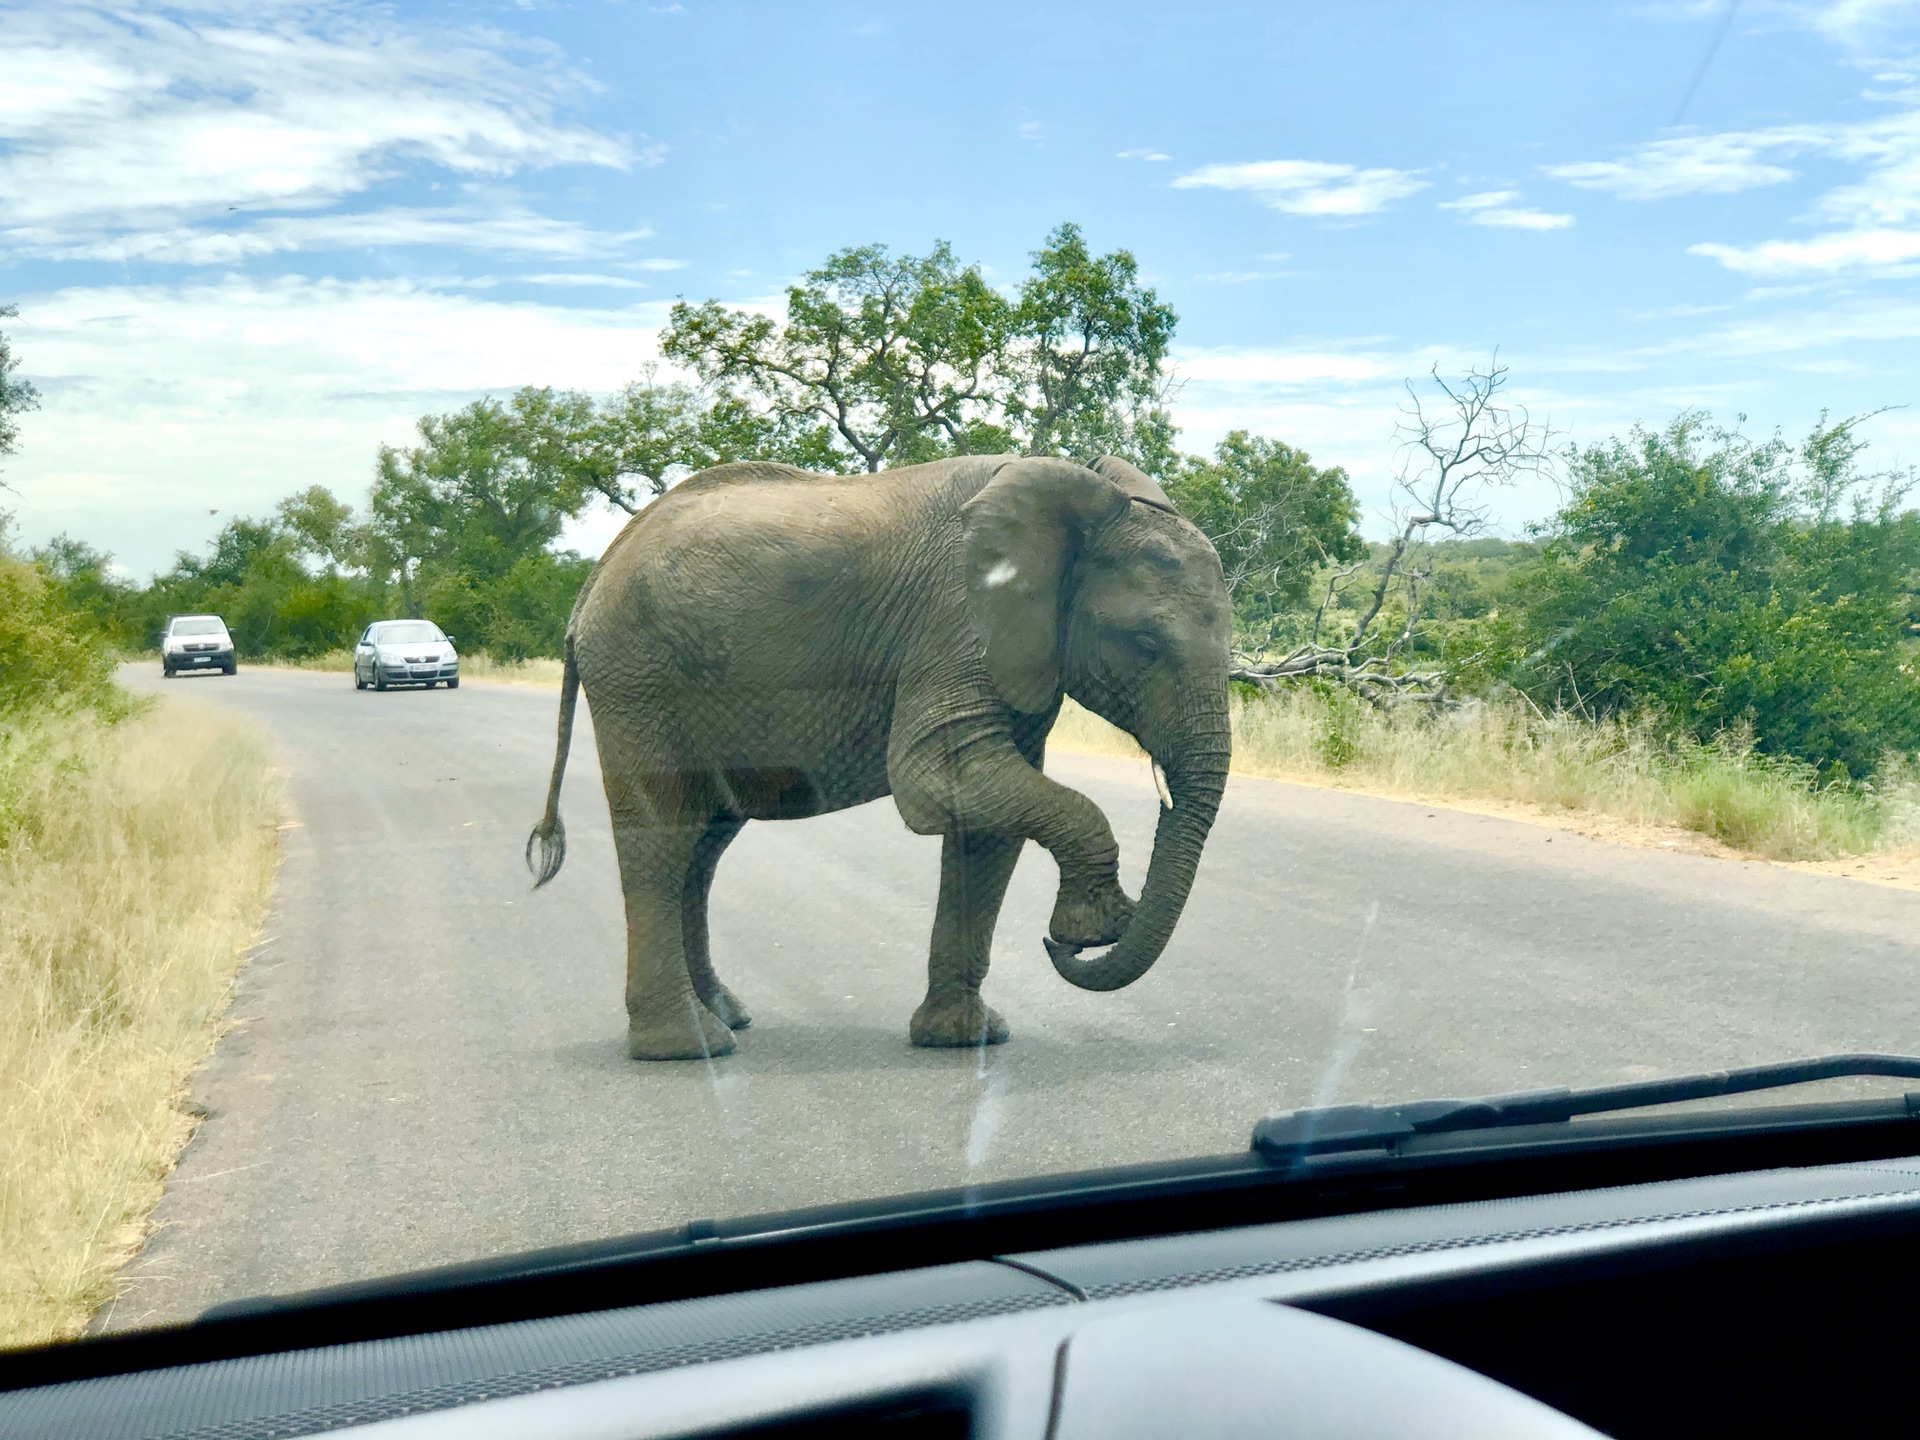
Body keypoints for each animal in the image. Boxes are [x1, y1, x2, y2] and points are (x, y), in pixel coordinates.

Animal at [526, 456, 1228, 1067]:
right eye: (1144, 645)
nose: (1061, 947)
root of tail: (591, 585)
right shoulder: (954, 622)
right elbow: (934, 781)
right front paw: (1098, 925)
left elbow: (987, 828)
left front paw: (963, 1039)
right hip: (638, 676)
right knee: (662, 843)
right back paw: (687, 1047)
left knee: (702, 849)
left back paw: (724, 1015)